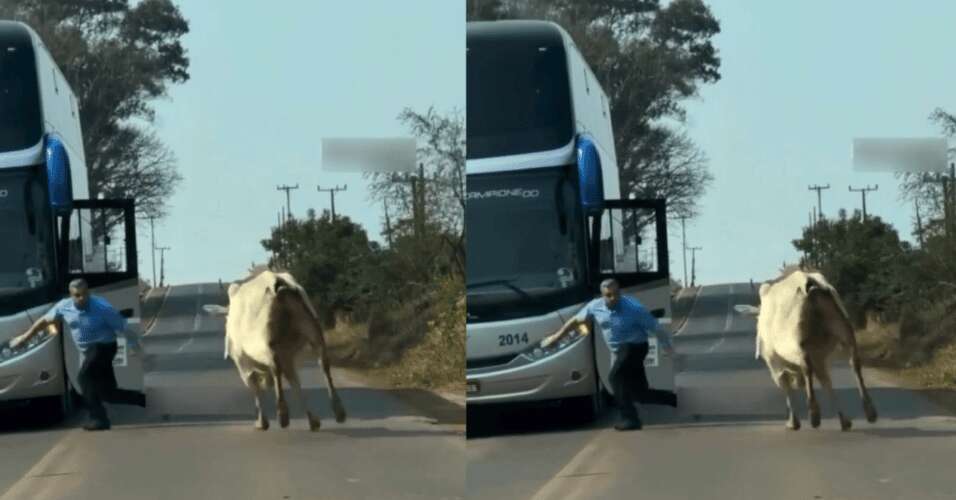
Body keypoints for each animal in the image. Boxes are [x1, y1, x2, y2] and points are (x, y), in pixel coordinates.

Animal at [205, 270, 348, 430]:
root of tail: (278, 283)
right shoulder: (287, 356)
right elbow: (295, 383)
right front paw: (313, 420)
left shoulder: (243, 362)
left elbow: (256, 388)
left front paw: (262, 422)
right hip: (312, 327)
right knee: (323, 362)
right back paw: (339, 411)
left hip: (266, 341)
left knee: (275, 369)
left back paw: (282, 414)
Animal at [736, 268, 876, 432]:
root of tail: (809, 283)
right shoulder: (818, 357)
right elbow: (826, 382)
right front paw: (844, 420)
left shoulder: (774, 361)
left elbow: (786, 386)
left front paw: (793, 422)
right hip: (843, 328)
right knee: (855, 363)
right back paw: (870, 411)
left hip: (796, 343)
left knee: (806, 367)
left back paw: (814, 414)